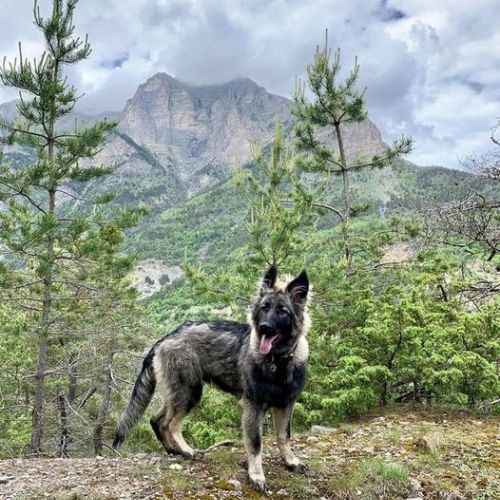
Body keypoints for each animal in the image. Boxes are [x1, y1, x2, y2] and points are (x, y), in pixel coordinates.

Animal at [113, 265, 310, 492]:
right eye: (264, 308)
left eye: (282, 311)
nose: (264, 328)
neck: (277, 361)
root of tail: (166, 337)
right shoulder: (253, 406)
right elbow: (255, 444)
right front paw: (256, 475)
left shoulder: (286, 403)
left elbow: (283, 436)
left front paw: (290, 461)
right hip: (189, 392)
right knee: (171, 423)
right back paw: (187, 450)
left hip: (178, 392)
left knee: (157, 419)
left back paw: (173, 449)